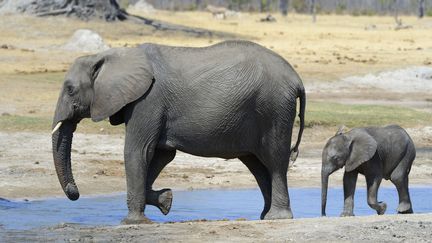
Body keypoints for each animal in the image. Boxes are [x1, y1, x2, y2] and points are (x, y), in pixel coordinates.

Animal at [50, 40, 306, 224]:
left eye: (70, 89)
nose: (75, 193)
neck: (113, 56)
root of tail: (297, 80)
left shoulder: (147, 100)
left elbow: (138, 152)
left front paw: (132, 222)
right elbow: (161, 155)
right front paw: (167, 201)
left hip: (273, 109)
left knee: (274, 161)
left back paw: (277, 218)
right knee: (257, 166)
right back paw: (264, 217)